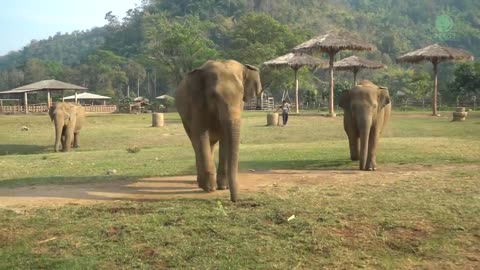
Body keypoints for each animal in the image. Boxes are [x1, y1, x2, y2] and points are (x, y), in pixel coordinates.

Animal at [175, 59, 260, 202]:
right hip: (184, 117)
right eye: (213, 95)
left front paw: (223, 187)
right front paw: (210, 188)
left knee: (211, 143)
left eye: (241, 94)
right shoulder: (197, 104)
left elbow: (225, 137)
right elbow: (201, 134)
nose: (234, 200)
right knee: (195, 142)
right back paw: (202, 183)